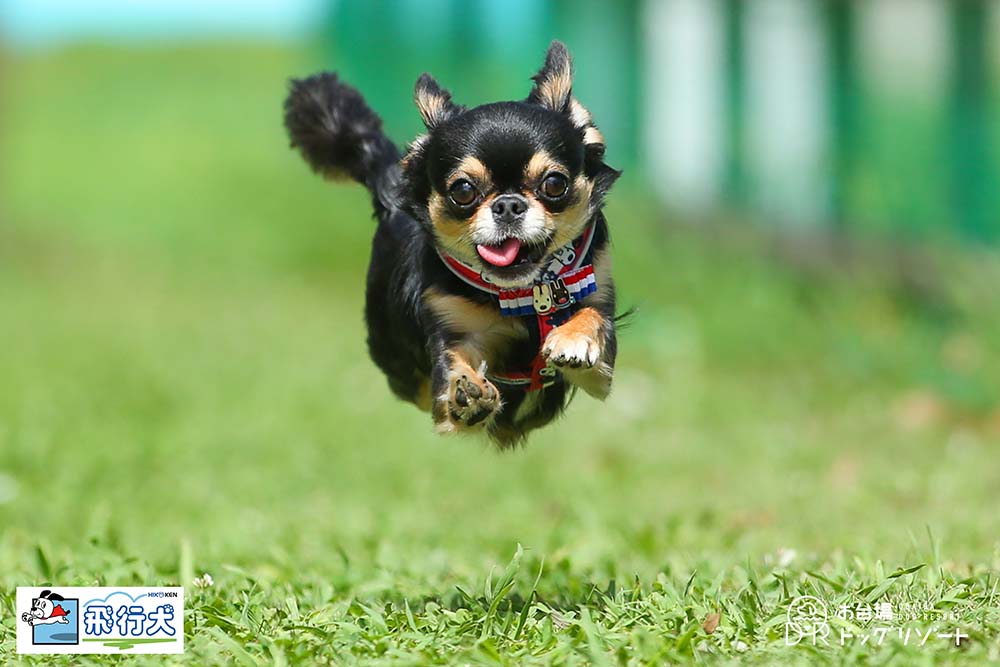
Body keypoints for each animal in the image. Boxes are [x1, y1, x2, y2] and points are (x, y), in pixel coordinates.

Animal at [282, 41, 620, 448]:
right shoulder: (453, 331)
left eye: (554, 184)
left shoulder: (601, 362)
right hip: (397, 360)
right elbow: (453, 374)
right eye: (463, 190)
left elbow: (592, 320)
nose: (508, 204)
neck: (521, 294)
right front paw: (467, 393)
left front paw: (572, 338)